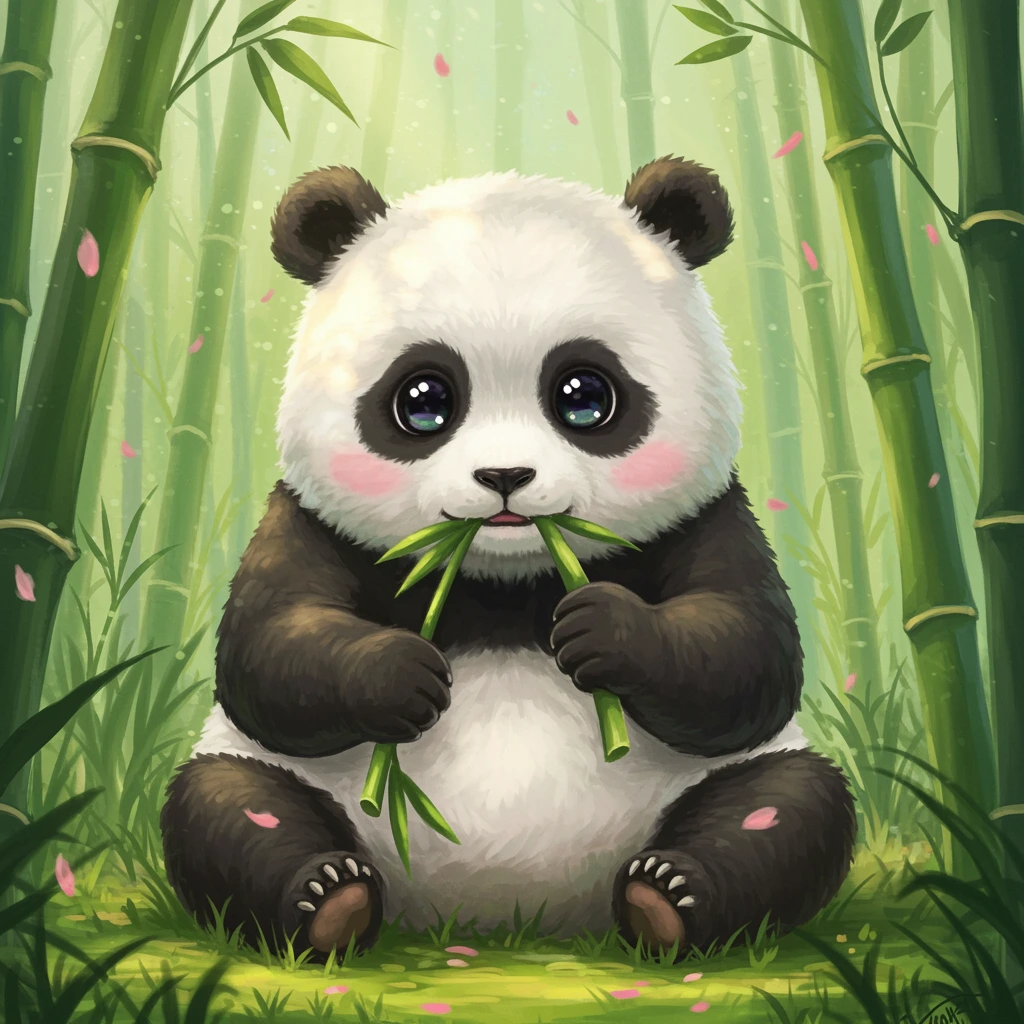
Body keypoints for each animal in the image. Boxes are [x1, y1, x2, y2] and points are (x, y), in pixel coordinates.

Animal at [161, 156, 856, 959]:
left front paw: (603, 630)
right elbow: (269, 651)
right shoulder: (307, 520)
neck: (506, 581)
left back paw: (668, 896)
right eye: (423, 400)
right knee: (226, 807)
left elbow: (747, 652)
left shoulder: (708, 516)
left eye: (584, 395)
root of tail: (508, 913)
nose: (504, 476)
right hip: (264, 776)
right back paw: (329, 898)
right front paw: (400, 672)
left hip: (724, 787)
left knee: (787, 805)